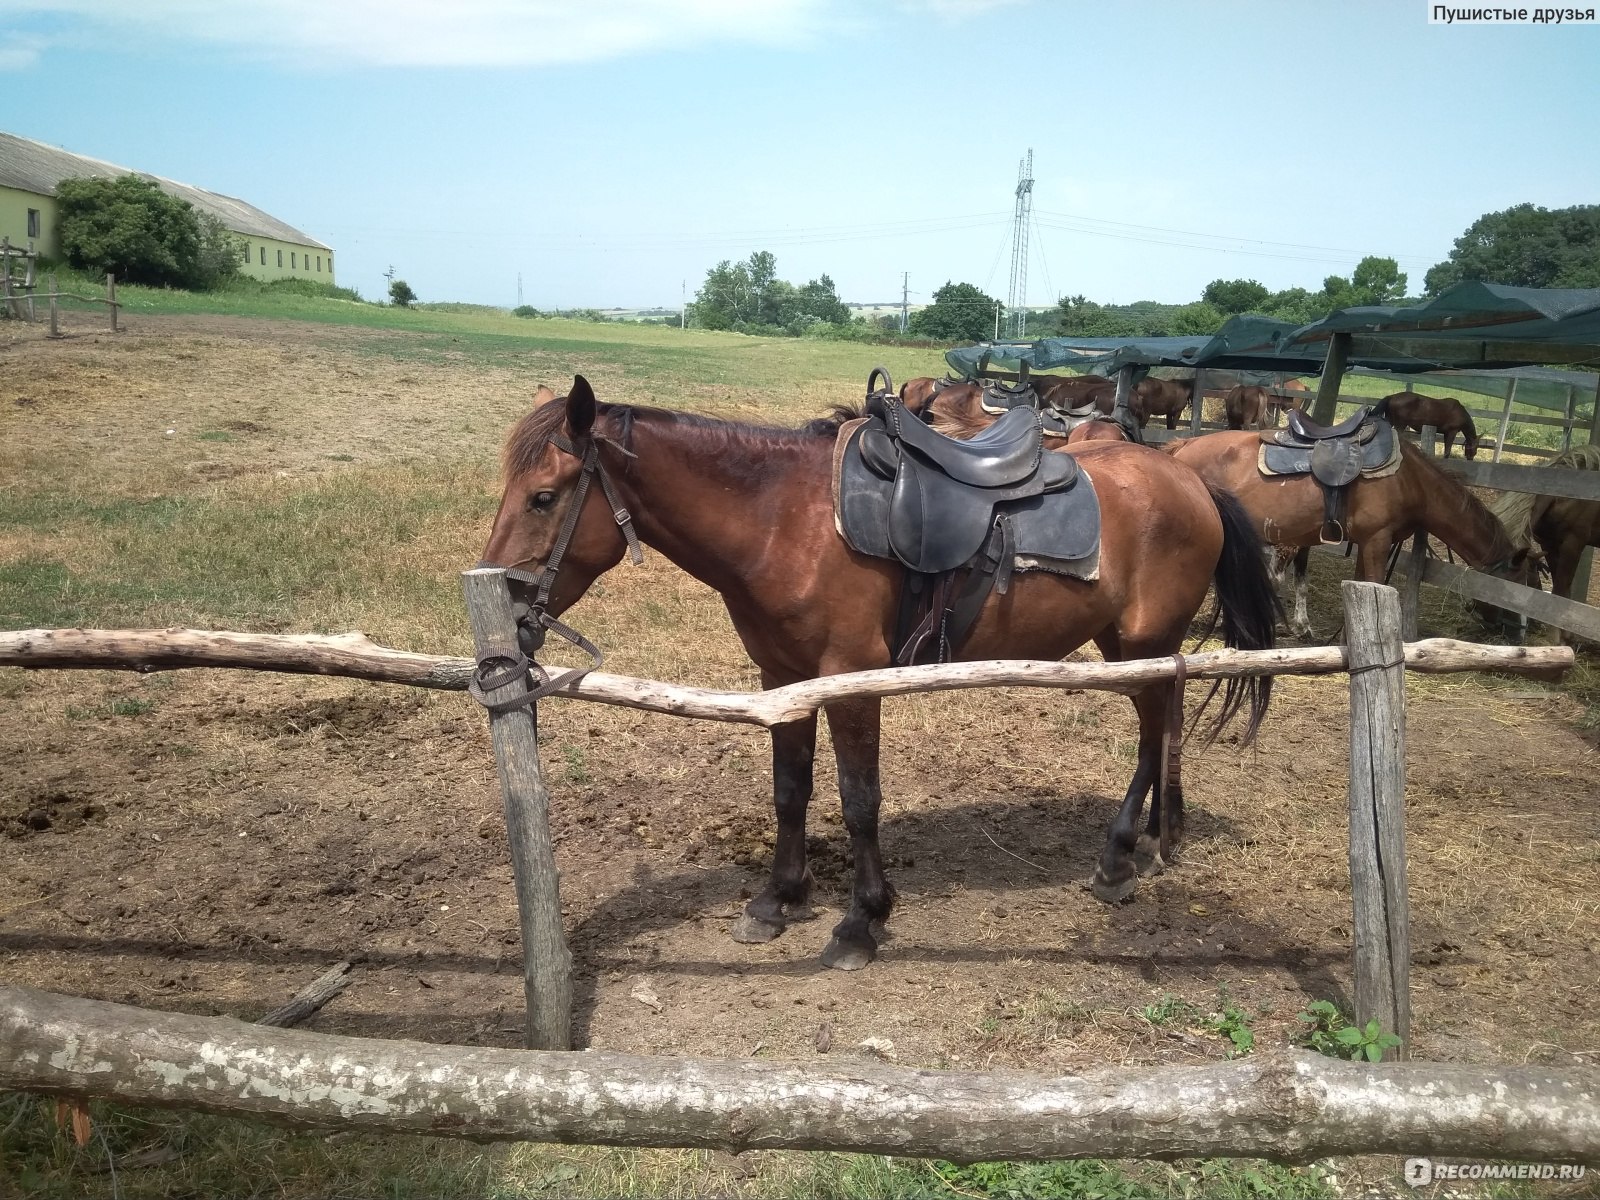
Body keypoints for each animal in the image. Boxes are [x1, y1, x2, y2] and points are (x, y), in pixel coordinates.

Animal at [480, 380, 1280, 972]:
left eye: (544, 496)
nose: (508, 609)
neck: (785, 522)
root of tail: (1191, 480)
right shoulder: (783, 680)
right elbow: (790, 792)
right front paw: (777, 900)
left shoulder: (851, 682)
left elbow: (859, 800)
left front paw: (860, 922)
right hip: (1135, 647)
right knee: (1167, 719)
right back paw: (1159, 836)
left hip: (1143, 645)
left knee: (1151, 733)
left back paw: (1117, 859)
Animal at [1171, 432, 1529, 640]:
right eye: (1519, 584)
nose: (1522, 633)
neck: (1409, 480)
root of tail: (1183, 447)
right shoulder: (1378, 541)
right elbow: (1376, 584)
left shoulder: (1368, 542)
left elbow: (1360, 585)